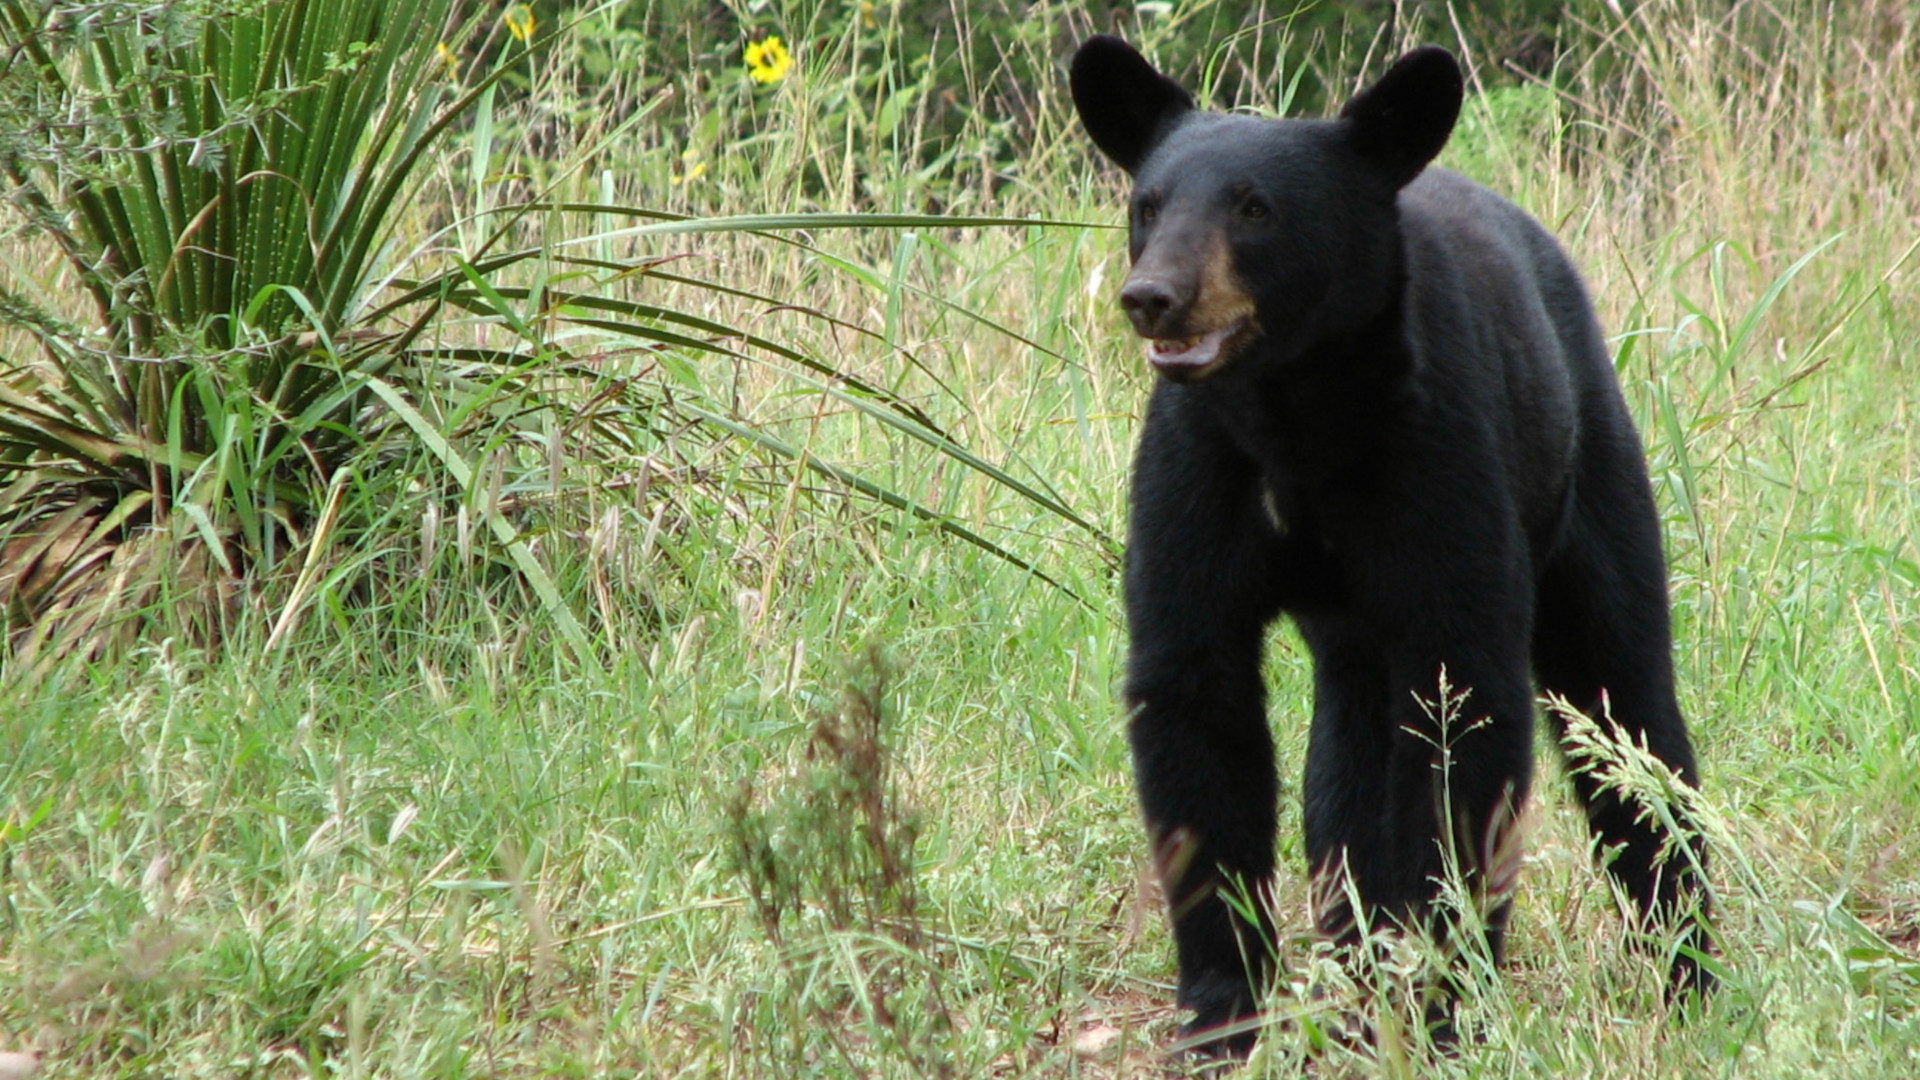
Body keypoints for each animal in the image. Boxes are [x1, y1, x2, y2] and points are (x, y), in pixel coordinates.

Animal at [1075, 35, 1720, 1053]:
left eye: (1255, 208)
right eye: (1148, 204)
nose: (1153, 298)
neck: (1295, 415)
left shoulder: (1436, 460)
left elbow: (1467, 716)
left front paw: (1447, 1002)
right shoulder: (1199, 470)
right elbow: (1193, 698)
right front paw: (1222, 1012)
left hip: (1589, 474)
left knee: (1628, 711)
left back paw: (1688, 967)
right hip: (1351, 637)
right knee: (1345, 767)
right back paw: (1354, 967)